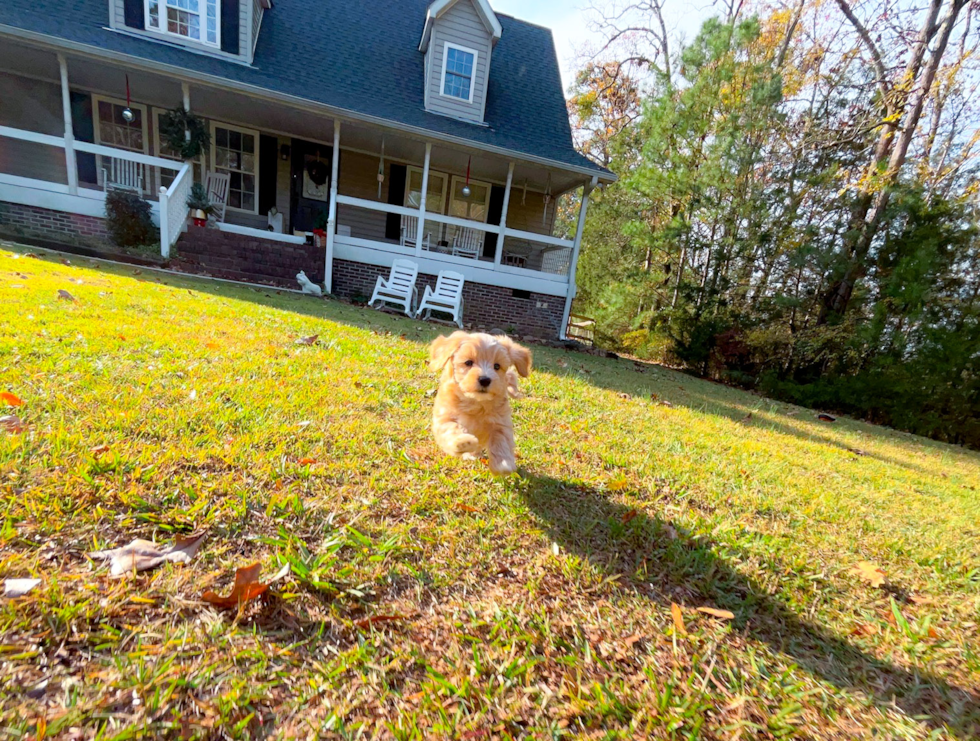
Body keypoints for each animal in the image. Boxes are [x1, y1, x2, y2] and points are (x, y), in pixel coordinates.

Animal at [428, 330, 532, 474]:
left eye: (497, 366)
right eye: (468, 362)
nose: (485, 379)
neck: (476, 402)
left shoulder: (500, 422)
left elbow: (501, 440)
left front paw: (503, 464)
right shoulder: (445, 416)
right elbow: (451, 428)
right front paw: (462, 442)